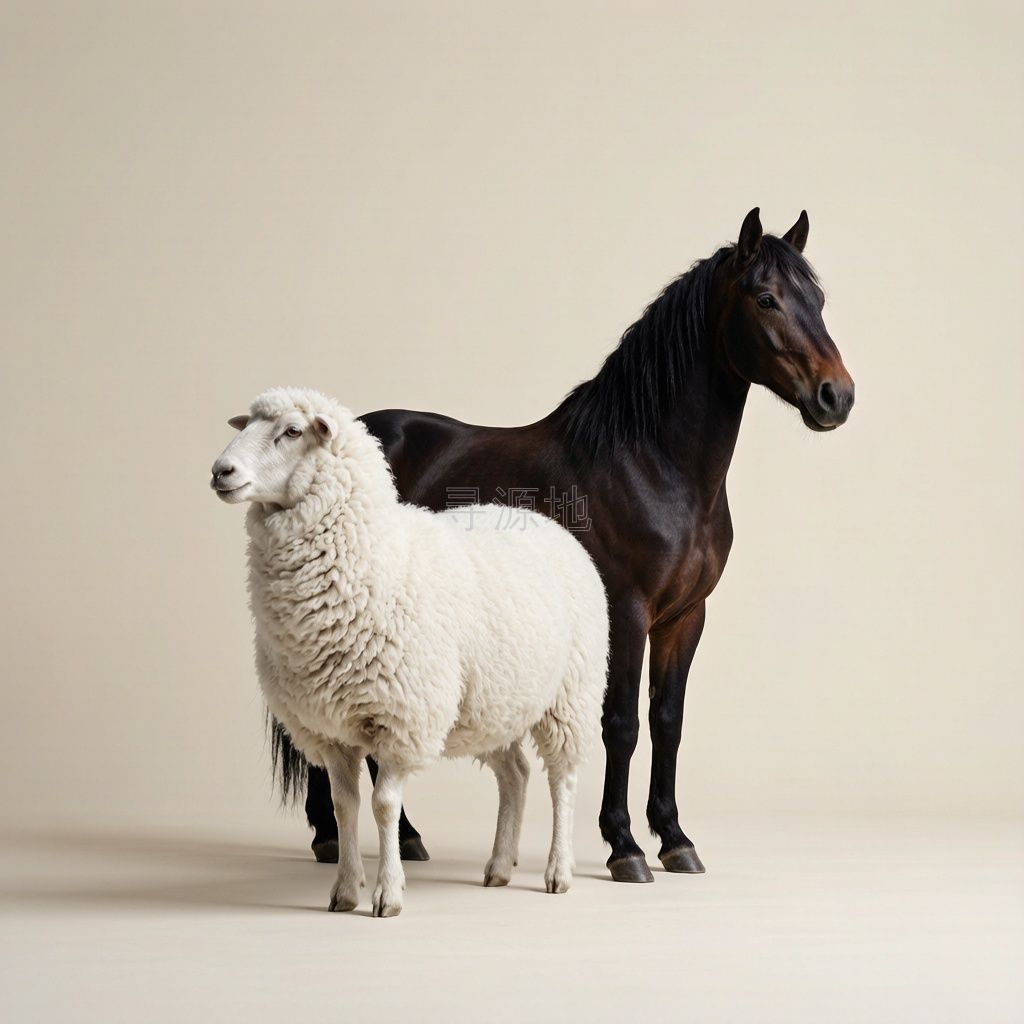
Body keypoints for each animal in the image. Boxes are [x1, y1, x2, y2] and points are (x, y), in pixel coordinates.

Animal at [279, 208, 855, 883]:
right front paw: (625, 845)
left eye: (818, 300)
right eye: (765, 298)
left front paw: (675, 839)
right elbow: (621, 724)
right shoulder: (626, 612)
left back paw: (402, 837)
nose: (837, 396)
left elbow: (668, 720)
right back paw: (331, 838)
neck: (654, 465)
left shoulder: (686, 617)